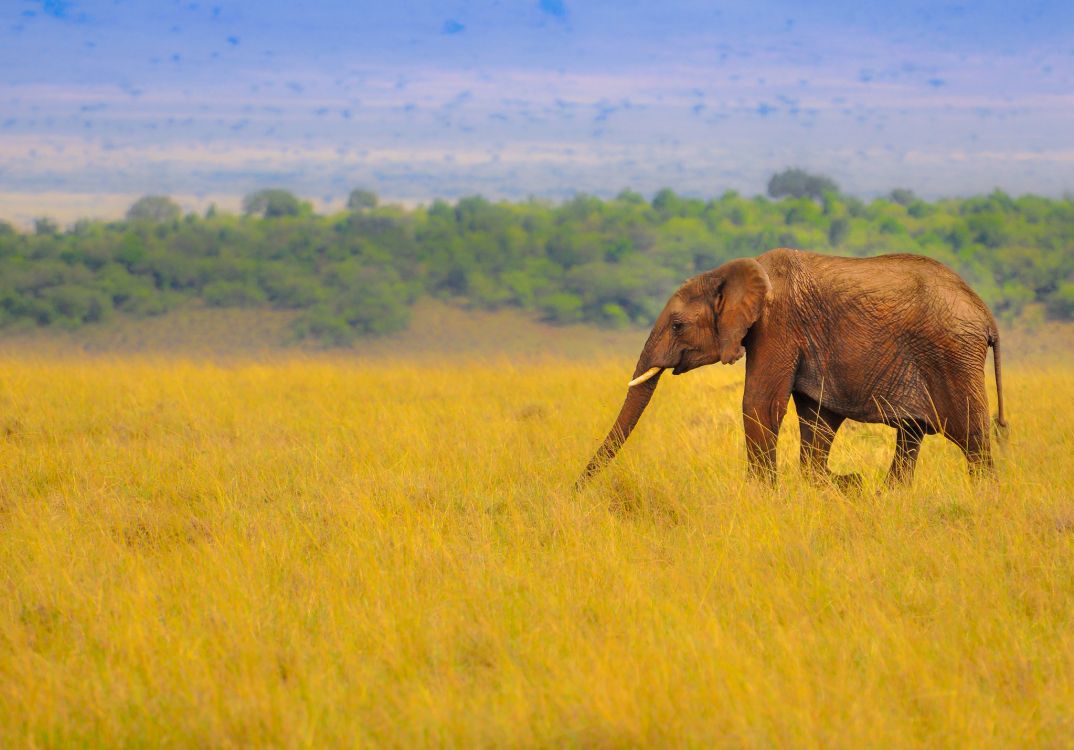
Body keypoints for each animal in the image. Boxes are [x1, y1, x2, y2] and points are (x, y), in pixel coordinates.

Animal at [578, 248, 1008, 488]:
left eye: (678, 325)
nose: (576, 489)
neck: (735, 271)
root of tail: (987, 315)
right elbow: (817, 417)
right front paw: (841, 484)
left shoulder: (778, 326)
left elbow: (759, 405)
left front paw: (762, 496)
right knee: (911, 435)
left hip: (952, 356)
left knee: (972, 437)